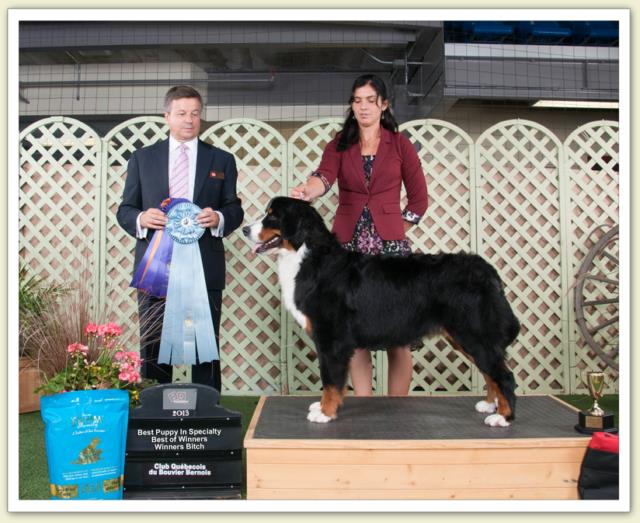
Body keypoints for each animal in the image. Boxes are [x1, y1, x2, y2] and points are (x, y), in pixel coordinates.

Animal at [244, 199, 520, 428]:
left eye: (272, 216)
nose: (245, 229)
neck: (306, 256)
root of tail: (485, 269)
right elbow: (333, 380)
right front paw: (323, 406)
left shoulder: (331, 339)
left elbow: (331, 379)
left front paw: (325, 412)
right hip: (465, 337)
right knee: (491, 373)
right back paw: (490, 405)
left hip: (473, 333)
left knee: (504, 375)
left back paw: (502, 417)